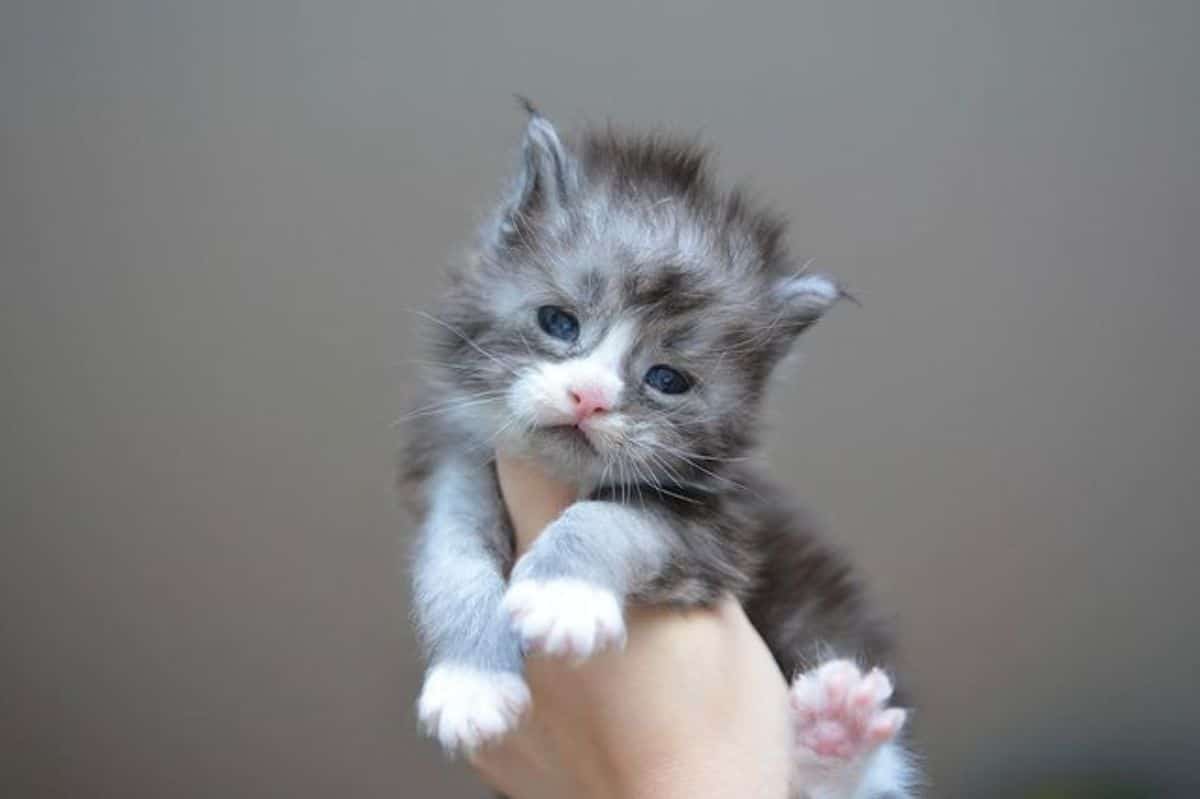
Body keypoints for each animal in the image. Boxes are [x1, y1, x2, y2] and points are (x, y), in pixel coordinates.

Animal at [403, 101, 916, 796]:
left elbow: (610, 518)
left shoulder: (718, 533)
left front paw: (562, 593)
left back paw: (839, 734)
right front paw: (471, 683)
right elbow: (451, 559)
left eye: (667, 379)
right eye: (558, 322)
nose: (589, 398)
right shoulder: (460, 469)